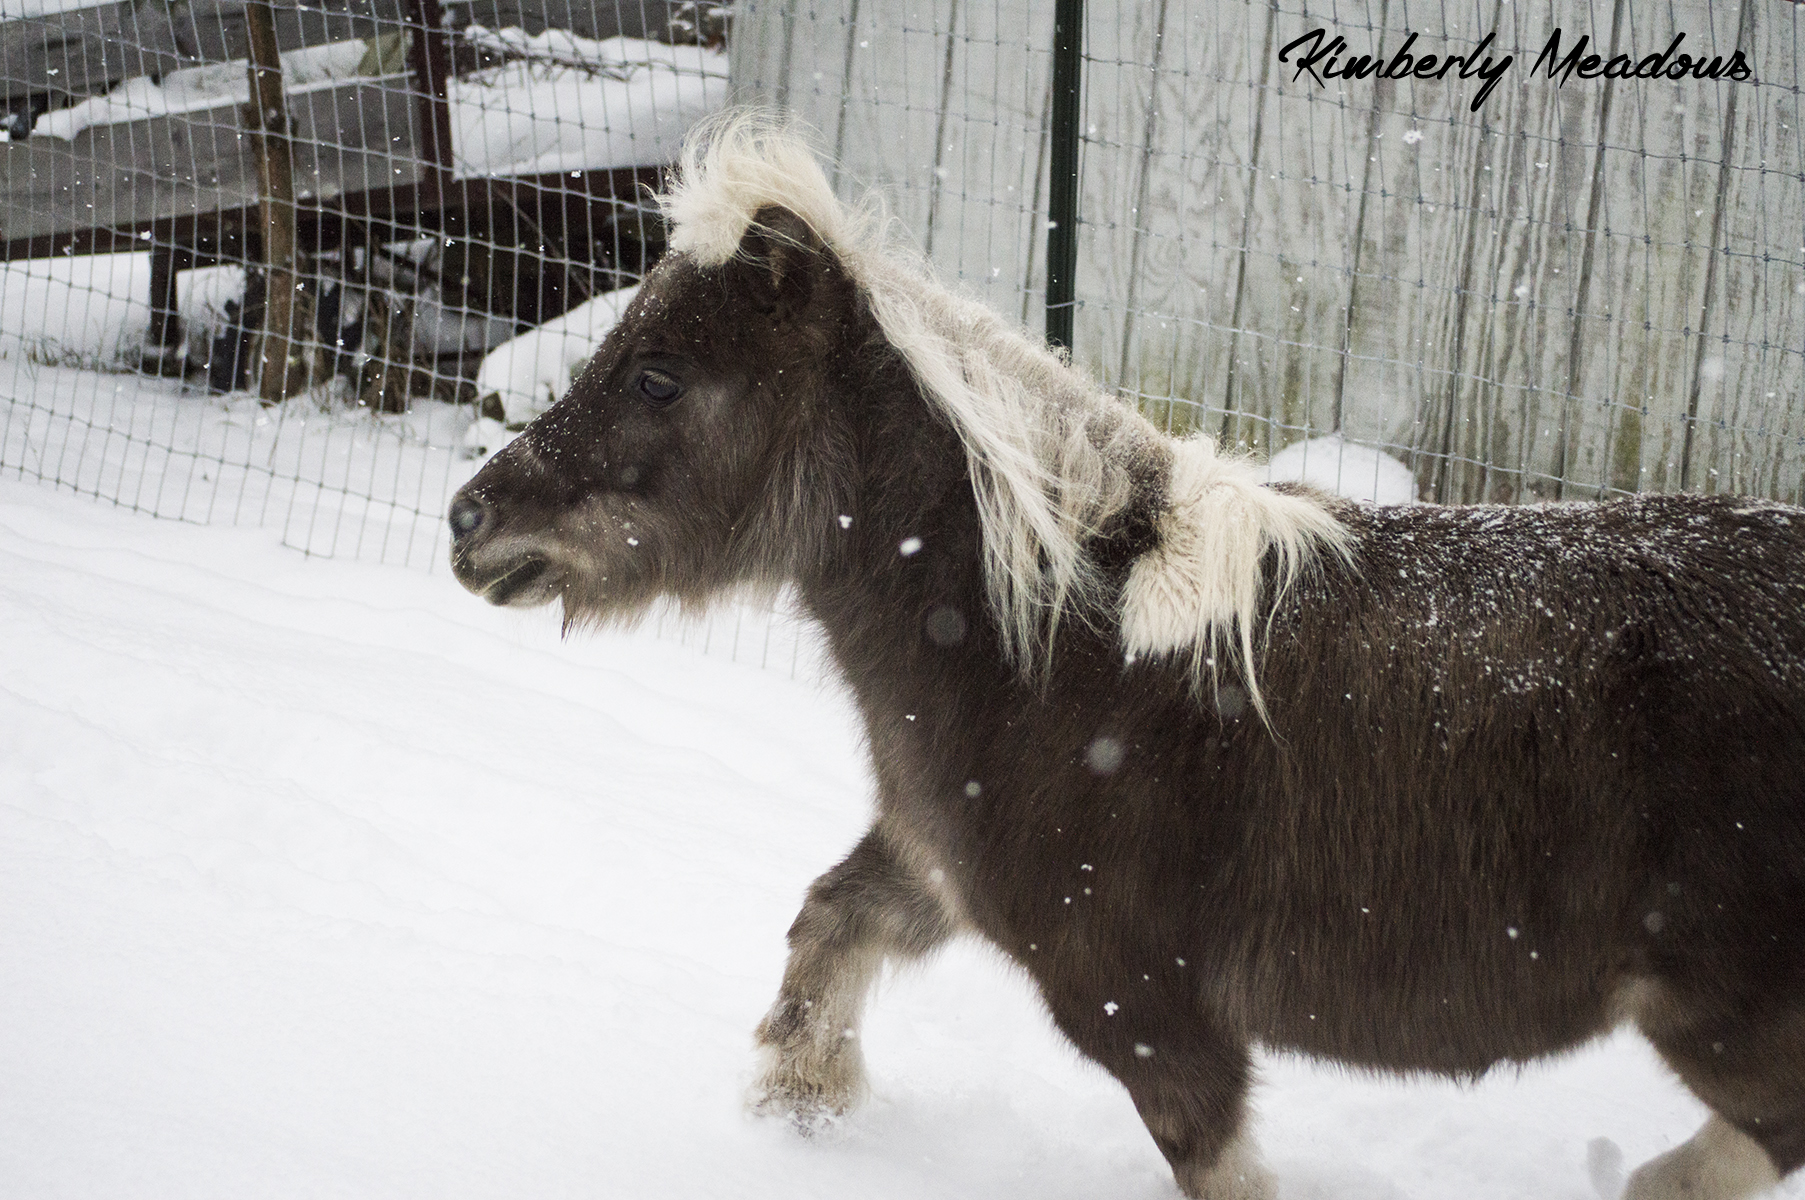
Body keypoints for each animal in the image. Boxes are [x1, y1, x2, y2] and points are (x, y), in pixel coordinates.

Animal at [447, 114, 1805, 1198]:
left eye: (658, 377)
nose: (469, 520)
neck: (1057, 649)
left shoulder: (1139, 1005)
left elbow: (1216, 1161)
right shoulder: (932, 866)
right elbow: (827, 929)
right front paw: (800, 1116)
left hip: (1730, 1017)